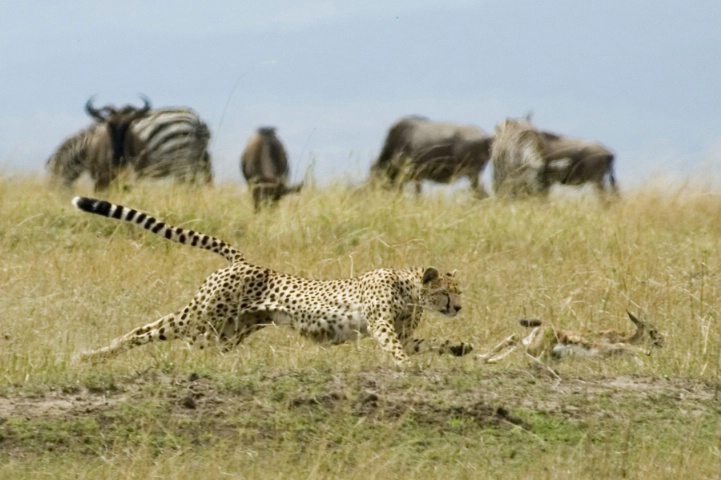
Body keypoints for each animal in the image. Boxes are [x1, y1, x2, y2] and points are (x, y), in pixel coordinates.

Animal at [73, 197, 472, 366]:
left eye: (460, 292)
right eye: (445, 293)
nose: (458, 308)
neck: (410, 289)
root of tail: (242, 261)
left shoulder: (403, 330)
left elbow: (427, 343)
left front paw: (458, 347)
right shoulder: (381, 324)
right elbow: (395, 348)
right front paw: (406, 367)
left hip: (221, 334)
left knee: (183, 343)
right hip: (199, 317)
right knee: (143, 331)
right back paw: (92, 355)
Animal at [478, 312, 664, 364]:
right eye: (652, 330)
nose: (662, 339)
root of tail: (543, 326)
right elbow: (630, 349)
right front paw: (646, 352)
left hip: (533, 345)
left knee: (514, 338)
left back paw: (485, 358)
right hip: (537, 348)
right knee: (519, 346)